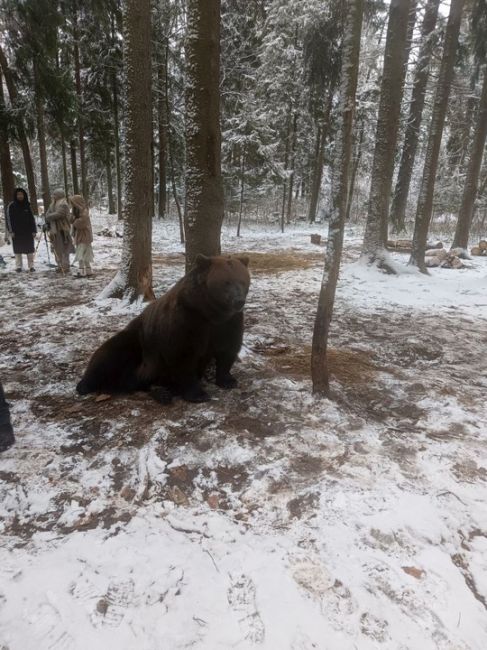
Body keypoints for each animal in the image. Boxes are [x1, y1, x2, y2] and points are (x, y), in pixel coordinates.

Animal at [78, 252, 252, 400]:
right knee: (108, 354)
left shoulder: (229, 323)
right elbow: (184, 356)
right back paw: (85, 385)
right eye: (226, 282)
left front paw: (228, 380)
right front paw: (198, 394)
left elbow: (228, 350)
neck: (211, 312)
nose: (239, 301)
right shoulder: (187, 320)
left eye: (243, 281)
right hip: (138, 343)